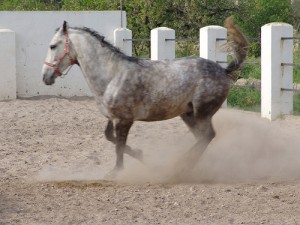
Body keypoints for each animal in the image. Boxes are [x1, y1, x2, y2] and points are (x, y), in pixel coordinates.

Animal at [42, 16, 248, 177]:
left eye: (53, 46)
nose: (45, 77)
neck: (112, 76)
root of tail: (223, 70)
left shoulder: (124, 120)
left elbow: (119, 146)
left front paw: (116, 172)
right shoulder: (113, 117)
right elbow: (111, 138)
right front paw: (141, 155)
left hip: (202, 113)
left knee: (207, 136)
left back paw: (180, 167)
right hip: (188, 114)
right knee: (203, 138)